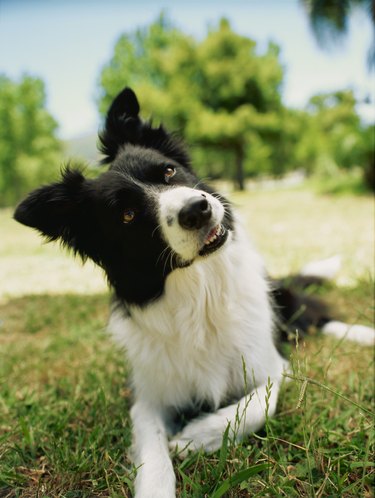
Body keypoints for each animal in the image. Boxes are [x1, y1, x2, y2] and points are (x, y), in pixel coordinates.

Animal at [13, 87, 374, 496]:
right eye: (127, 216)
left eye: (169, 171)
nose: (196, 210)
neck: (200, 294)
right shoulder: (148, 398)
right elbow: (153, 453)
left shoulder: (273, 367)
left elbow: (259, 405)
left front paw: (199, 436)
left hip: (285, 303)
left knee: (317, 316)